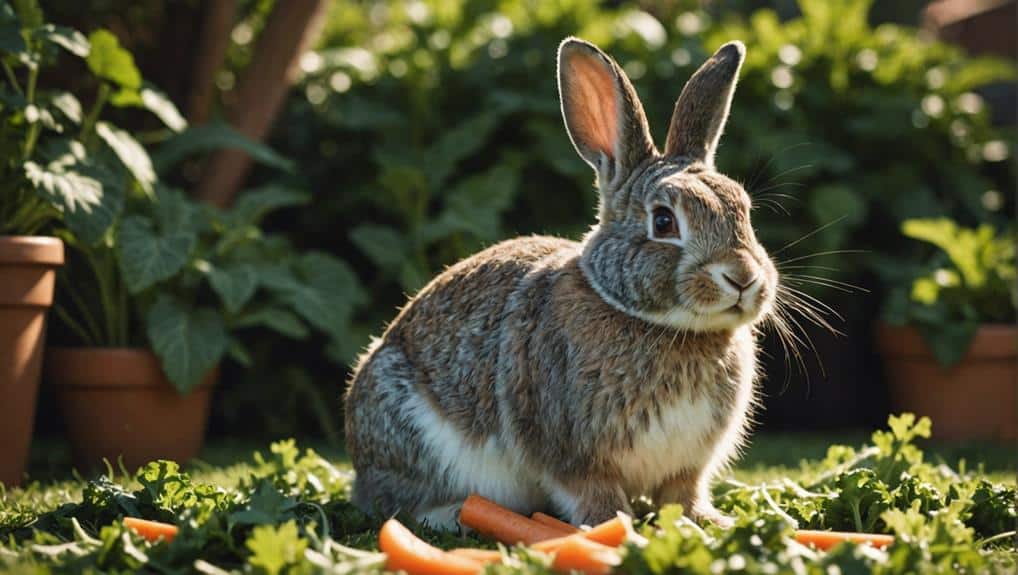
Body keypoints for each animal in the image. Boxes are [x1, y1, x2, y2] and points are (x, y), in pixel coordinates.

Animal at [344, 37, 777, 530]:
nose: (743, 277)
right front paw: (615, 526)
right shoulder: (571, 451)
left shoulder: (686, 465)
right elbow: (593, 493)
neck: (666, 326)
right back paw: (454, 514)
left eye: (744, 210)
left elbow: (682, 496)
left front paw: (709, 522)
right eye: (664, 222)